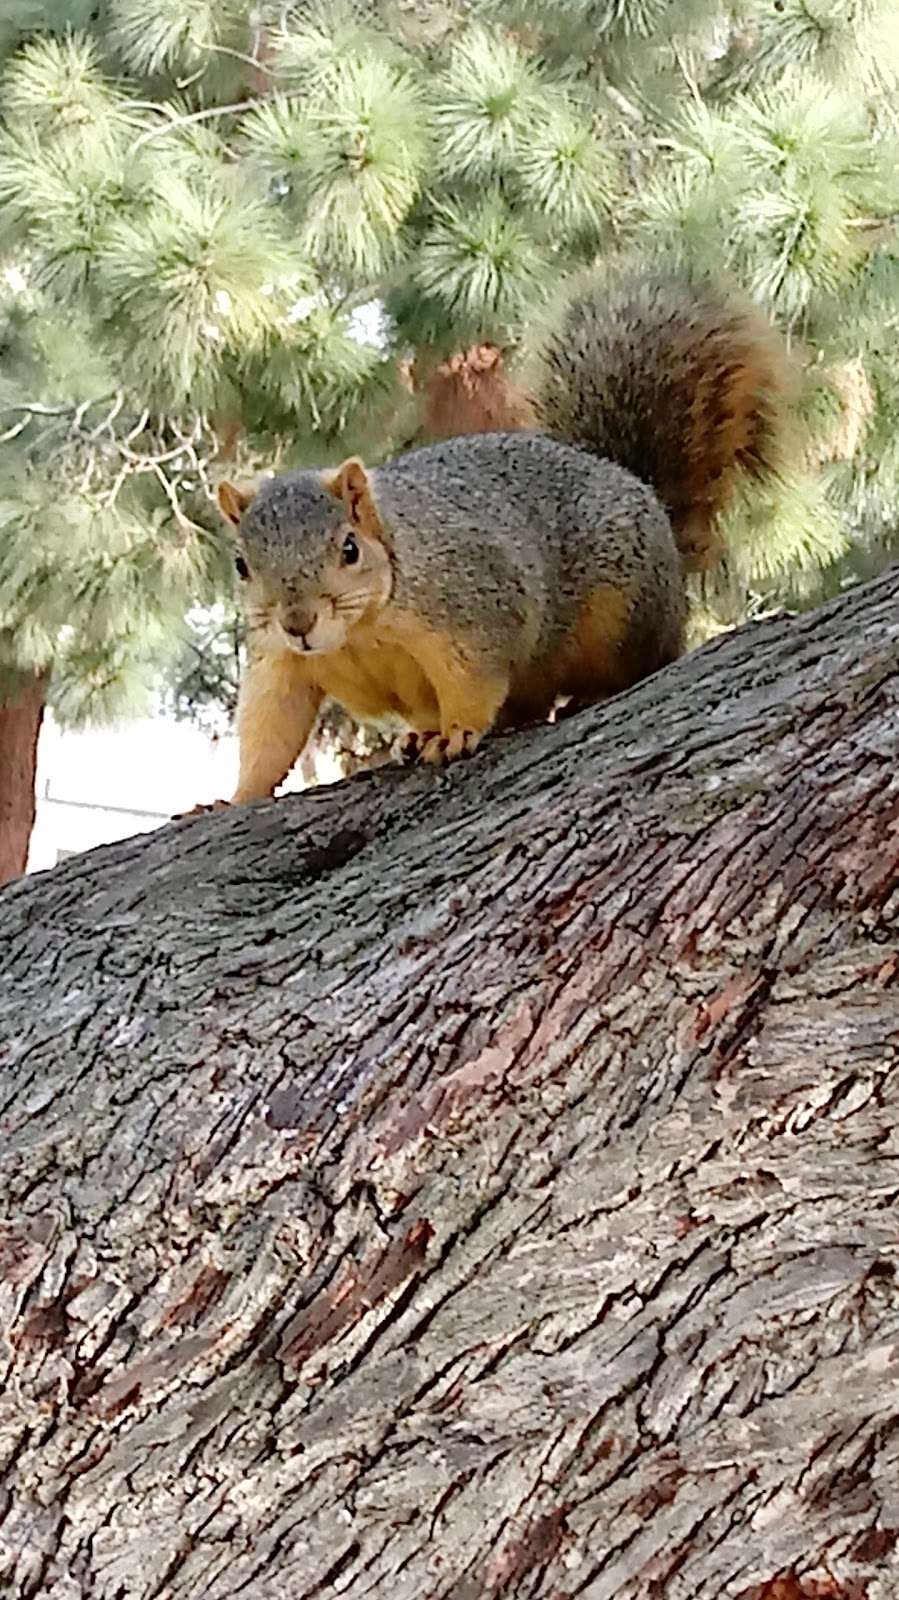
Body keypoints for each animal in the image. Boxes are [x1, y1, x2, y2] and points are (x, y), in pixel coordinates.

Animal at [212, 272, 787, 812]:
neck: (358, 632)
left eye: (348, 549)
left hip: (623, 611)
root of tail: (643, 493)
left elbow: (474, 679)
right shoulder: (279, 660)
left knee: (639, 662)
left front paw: (459, 732)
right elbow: (271, 729)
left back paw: (591, 692)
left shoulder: (472, 608)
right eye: (241, 565)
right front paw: (233, 797)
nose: (298, 622)